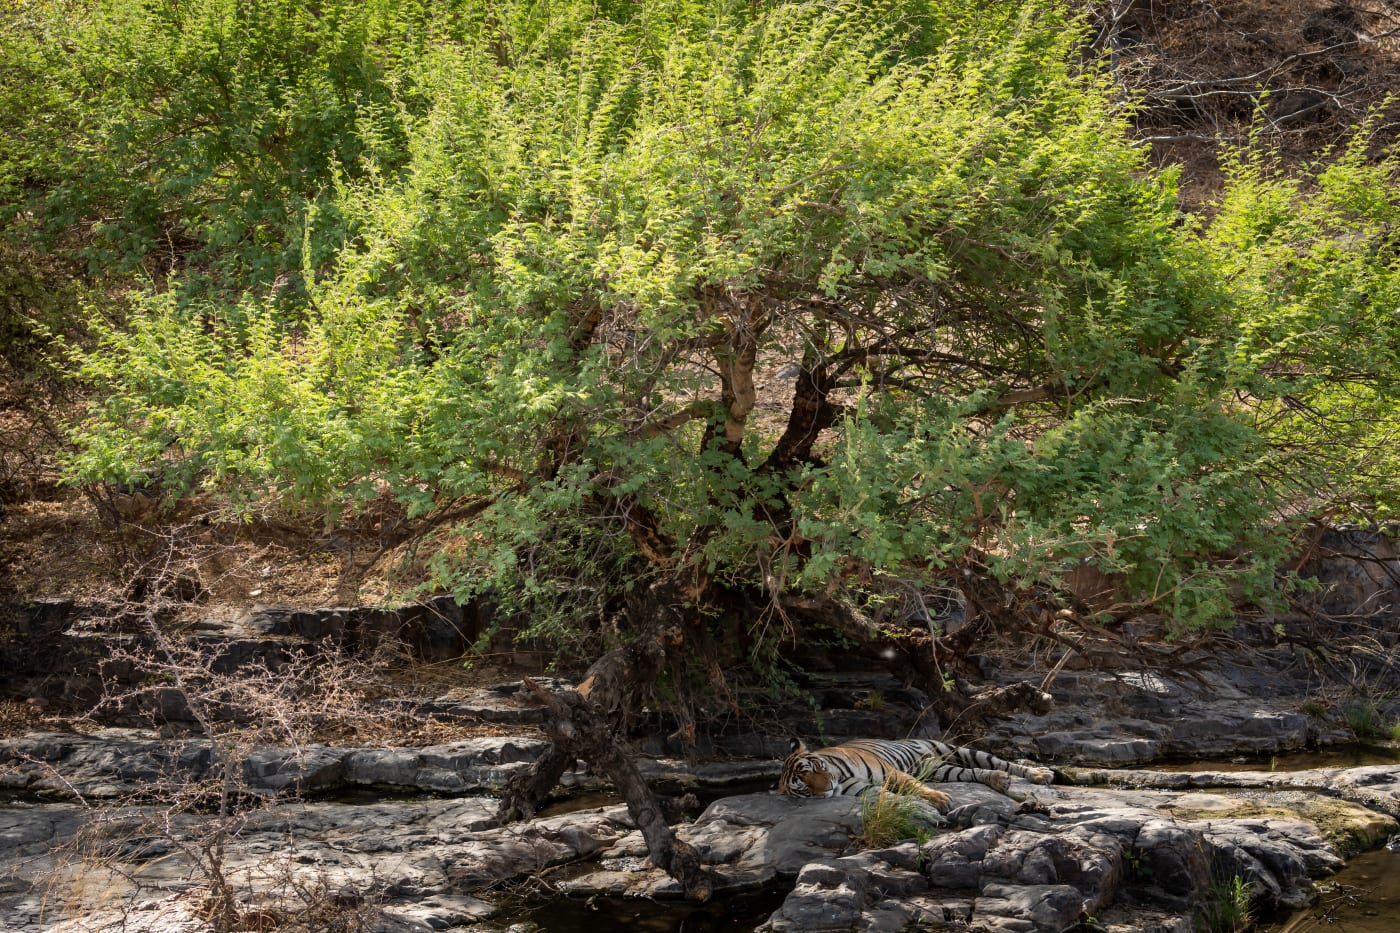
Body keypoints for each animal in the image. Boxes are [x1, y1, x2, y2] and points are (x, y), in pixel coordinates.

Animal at [776, 737, 1055, 810]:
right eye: (803, 787)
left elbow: (914, 786)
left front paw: (939, 799)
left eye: (814, 768)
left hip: (958, 750)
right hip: (940, 769)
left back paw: (1040, 773)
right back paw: (999, 780)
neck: (839, 777)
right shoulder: (863, 787)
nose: (826, 788)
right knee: (972, 773)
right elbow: (883, 795)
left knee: (1001, 762)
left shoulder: (891, 772)